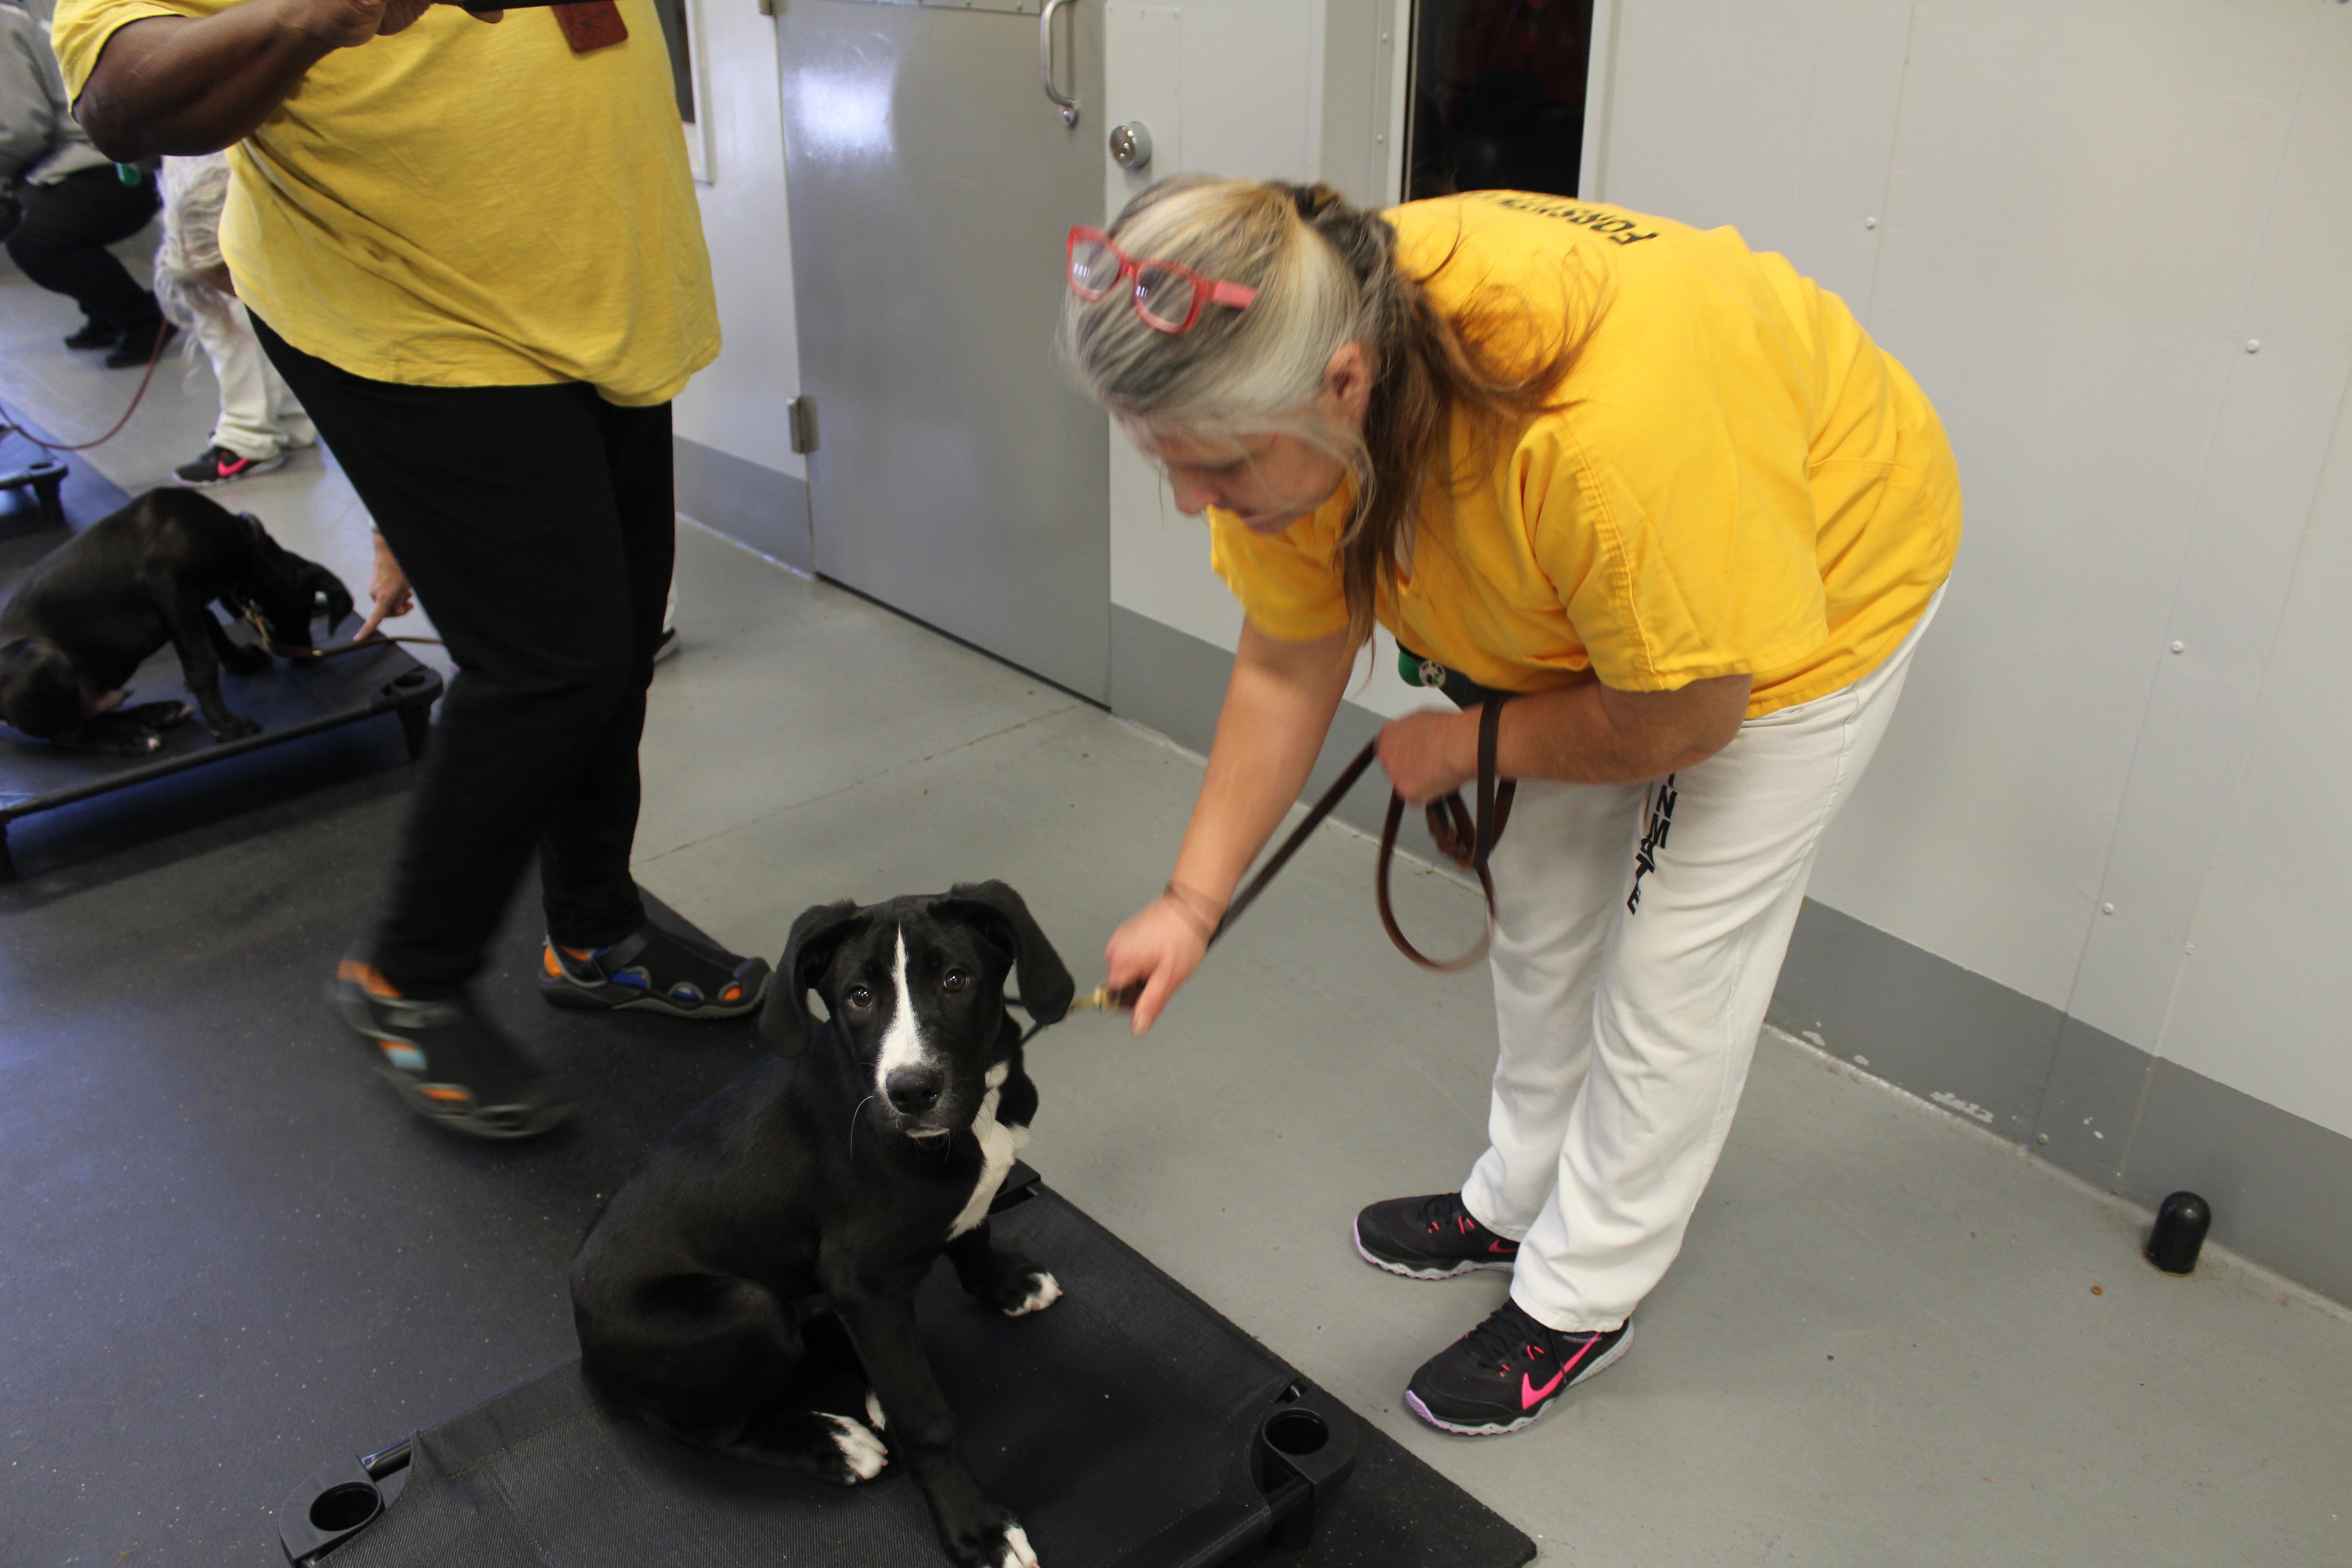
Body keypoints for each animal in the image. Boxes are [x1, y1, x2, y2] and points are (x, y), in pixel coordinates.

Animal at [0, 488, 353, 754]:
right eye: (304, 610)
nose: (306, 655)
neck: (246, 543)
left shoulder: (185, 602)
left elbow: (210, 626)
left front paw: (240, 660)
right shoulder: (165, 583)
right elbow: (201, 661)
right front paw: (225, 726)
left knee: (89, 716)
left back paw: (158, 713)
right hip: (42, 656)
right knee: (70, 734)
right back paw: (135, 737)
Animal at [570, 882, 1077, 1568]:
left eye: (956, 979)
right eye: (858, 996)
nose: (910, 1092)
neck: (975, 1118)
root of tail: (585, 1350)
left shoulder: (880, 1279)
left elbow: (975, 1234)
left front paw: (1004, 1285)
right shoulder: (860, 1278)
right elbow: (927, 1420)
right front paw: (975, 1528)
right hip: (745, 1310)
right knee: (706, 1428)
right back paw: (829, 1443)